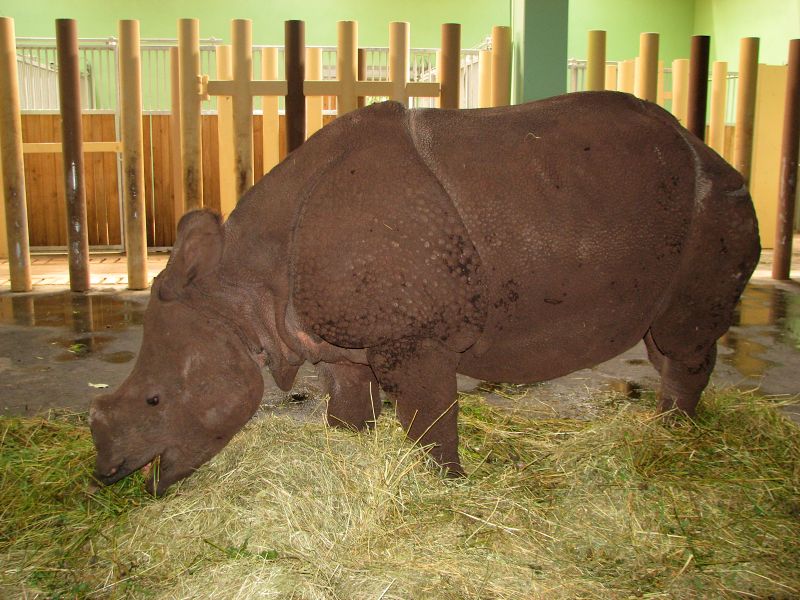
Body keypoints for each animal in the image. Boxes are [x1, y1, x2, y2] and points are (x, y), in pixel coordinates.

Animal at [90, 92, 760, 495]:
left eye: (154, 399)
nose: (106, 475)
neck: (243, 290)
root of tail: (713, 153)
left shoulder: (413, 335)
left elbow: (428, 419)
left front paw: (445, 487)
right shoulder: (335, 338)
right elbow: (348, 402)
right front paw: (350, 448)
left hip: (713, 205)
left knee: (680, 336)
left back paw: (672, 436)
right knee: (662, 341)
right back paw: (666, 429)